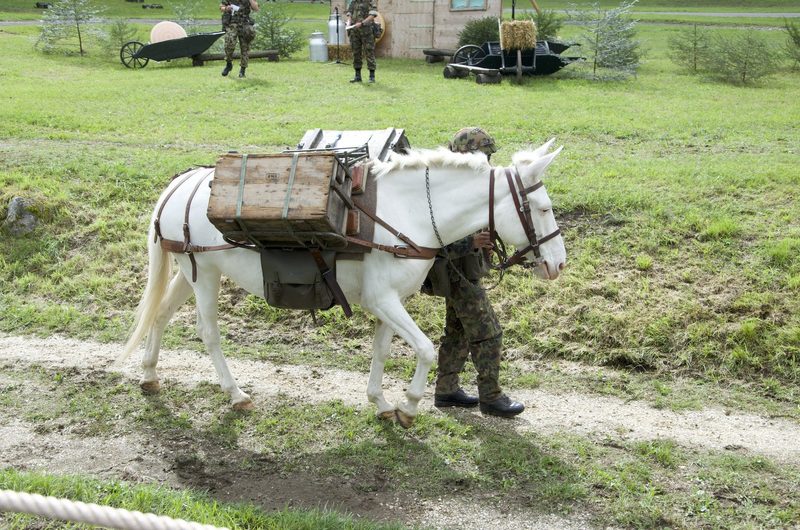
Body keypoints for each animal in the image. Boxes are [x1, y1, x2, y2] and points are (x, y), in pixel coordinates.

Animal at [120, 139, 567, 427]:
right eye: (542, 208)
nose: (558, 263)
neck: (407, 213)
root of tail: (181, 183)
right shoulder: (383, 300)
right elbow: (425, 349)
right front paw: (409, 407)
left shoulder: (389, 303)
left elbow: (382, 352)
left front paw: (382, 403)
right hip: (206, 274)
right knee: (208, 332)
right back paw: (236, 394)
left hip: (187, 270)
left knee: (160, 315)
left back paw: (149, 375)